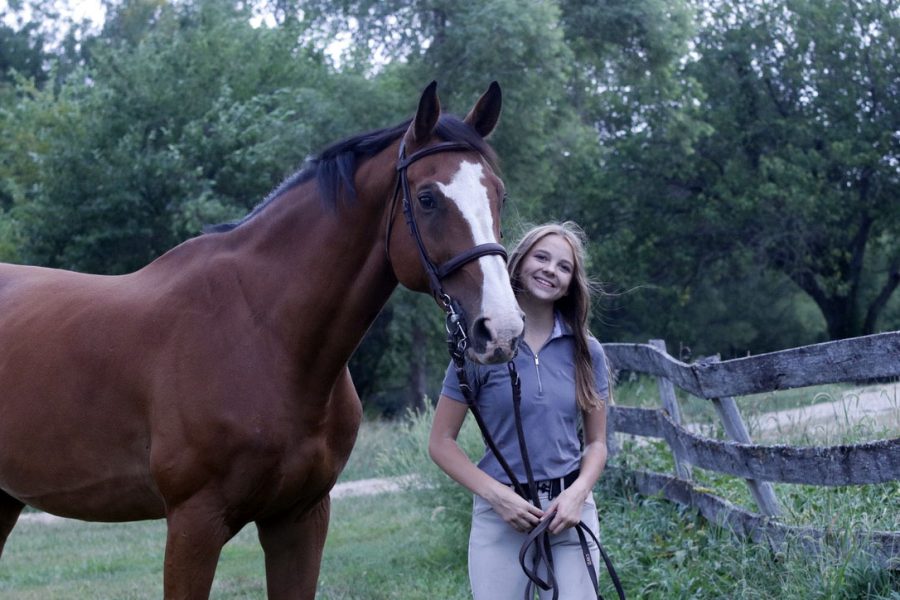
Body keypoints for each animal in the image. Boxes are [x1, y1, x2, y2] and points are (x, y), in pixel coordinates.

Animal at [0, 82, 524, 596]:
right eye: (428, 198)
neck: (265, 335)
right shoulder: (194, 523)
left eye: (499, 195)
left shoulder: (301, 518)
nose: (501, 328)